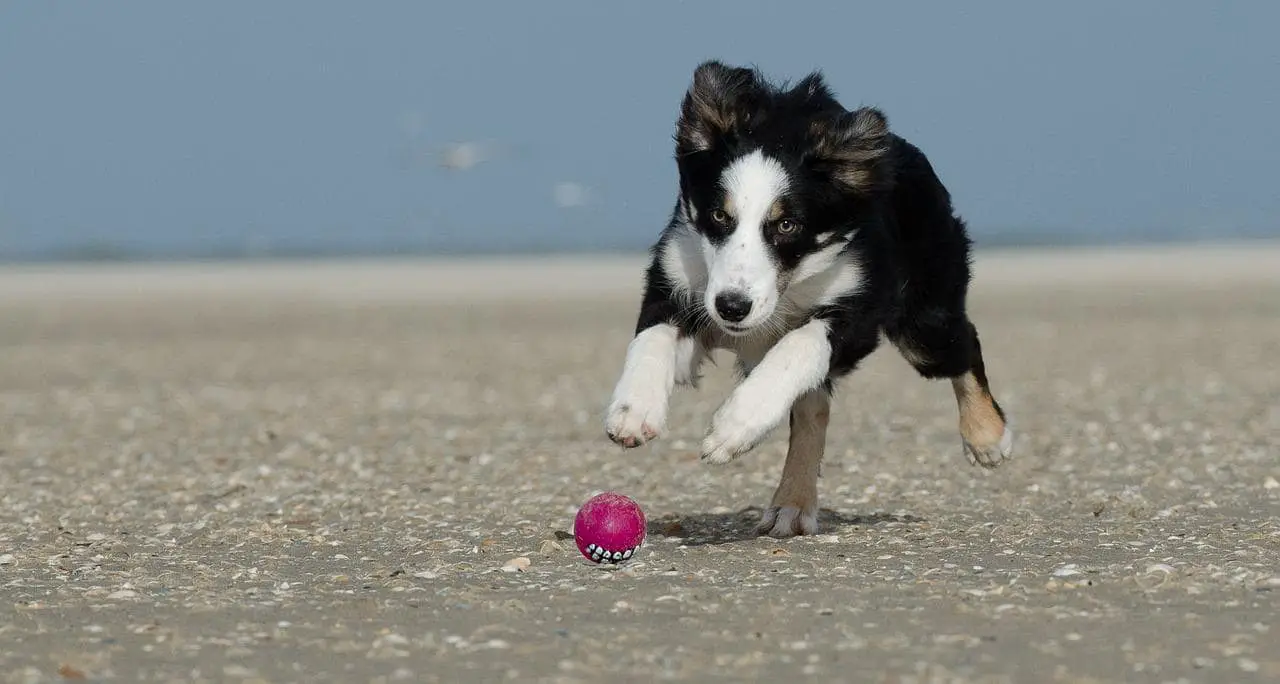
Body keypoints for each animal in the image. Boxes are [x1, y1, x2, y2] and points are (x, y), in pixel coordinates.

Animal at [599, 60, 1008, 540]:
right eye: (719, 215)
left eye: (787, 225)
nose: (732, 307)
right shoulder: (678, 278)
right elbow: (652, 337)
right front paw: (633, 410)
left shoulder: (858, 309)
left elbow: (799, 346)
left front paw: (733, 428)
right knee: (814, 409)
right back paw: (792, 505)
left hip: (924, 322)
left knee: (963, 344)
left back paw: (987, 437)